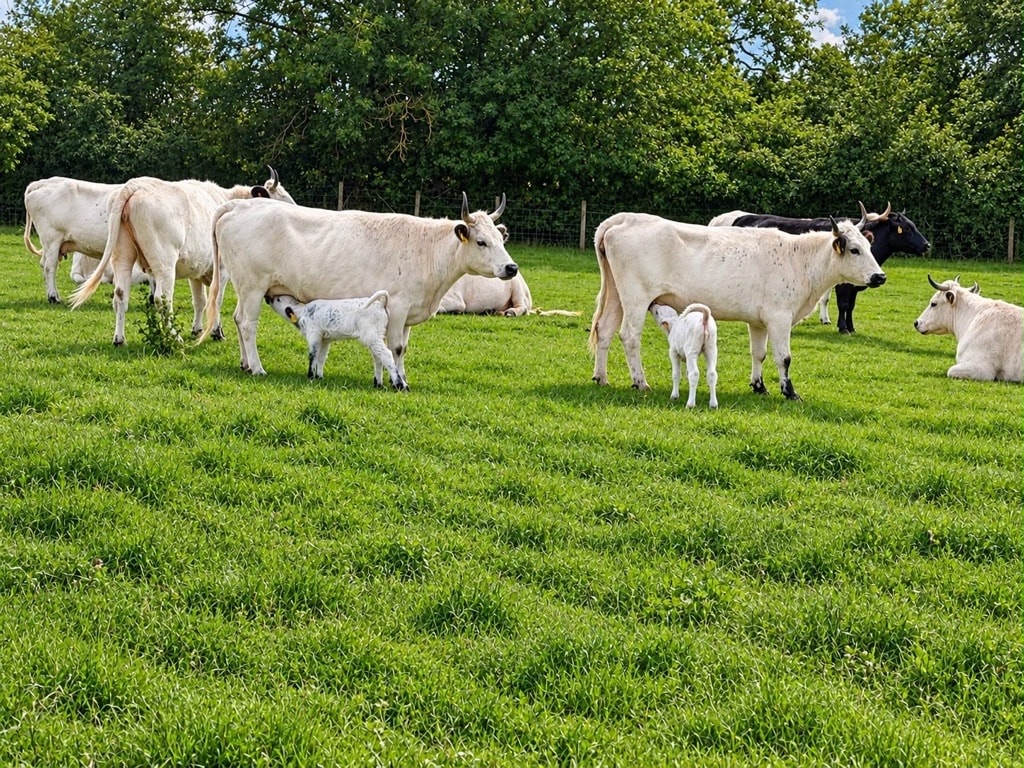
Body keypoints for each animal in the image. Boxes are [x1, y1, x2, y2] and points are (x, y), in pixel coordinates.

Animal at [69, 167, 295, 345]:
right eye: (282, 197)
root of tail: (136, 186)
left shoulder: (197, 271)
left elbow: (200, 300)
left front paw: (197, 329)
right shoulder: (222, 270)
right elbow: (216, 300)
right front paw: (216, 332)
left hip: (122, 256)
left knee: (120, 295)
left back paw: (119, 339)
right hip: (164, 263)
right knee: (162, 299)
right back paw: (173, 337)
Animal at [197, 193, 518, 389]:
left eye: (499, 239)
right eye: (481, 242)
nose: (512, 267)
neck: (428, 252)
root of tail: (239, 205)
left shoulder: (408, 312)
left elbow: (403, 348)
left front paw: (399, 377)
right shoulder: (397, 307)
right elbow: (396, 348)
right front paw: (398, 381)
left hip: (244, 286)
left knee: (238, 319)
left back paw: (244, 364)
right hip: (253, 284)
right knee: (247, 323)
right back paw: (257, 367)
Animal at [590, 212, 885, 400]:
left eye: (869, 246)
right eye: (855, 250)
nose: (880, 276)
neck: (799, 260)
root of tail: (625, 218)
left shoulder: (759, 321)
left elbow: (759, 354)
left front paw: (759, 386)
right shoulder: (779, 317)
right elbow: (784, 357)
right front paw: (789, 392)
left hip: (616, 296)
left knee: (604, 330)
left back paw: (601, 377)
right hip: (636, 298)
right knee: (629, 336)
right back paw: (640, 382)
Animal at [710, 203, 930, 333]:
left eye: (914, 225)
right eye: (907, 228)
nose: (927, 245)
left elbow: (850, 305)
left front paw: (850, 327)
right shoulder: (843, 285)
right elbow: (843, 304)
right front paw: (843, 328)